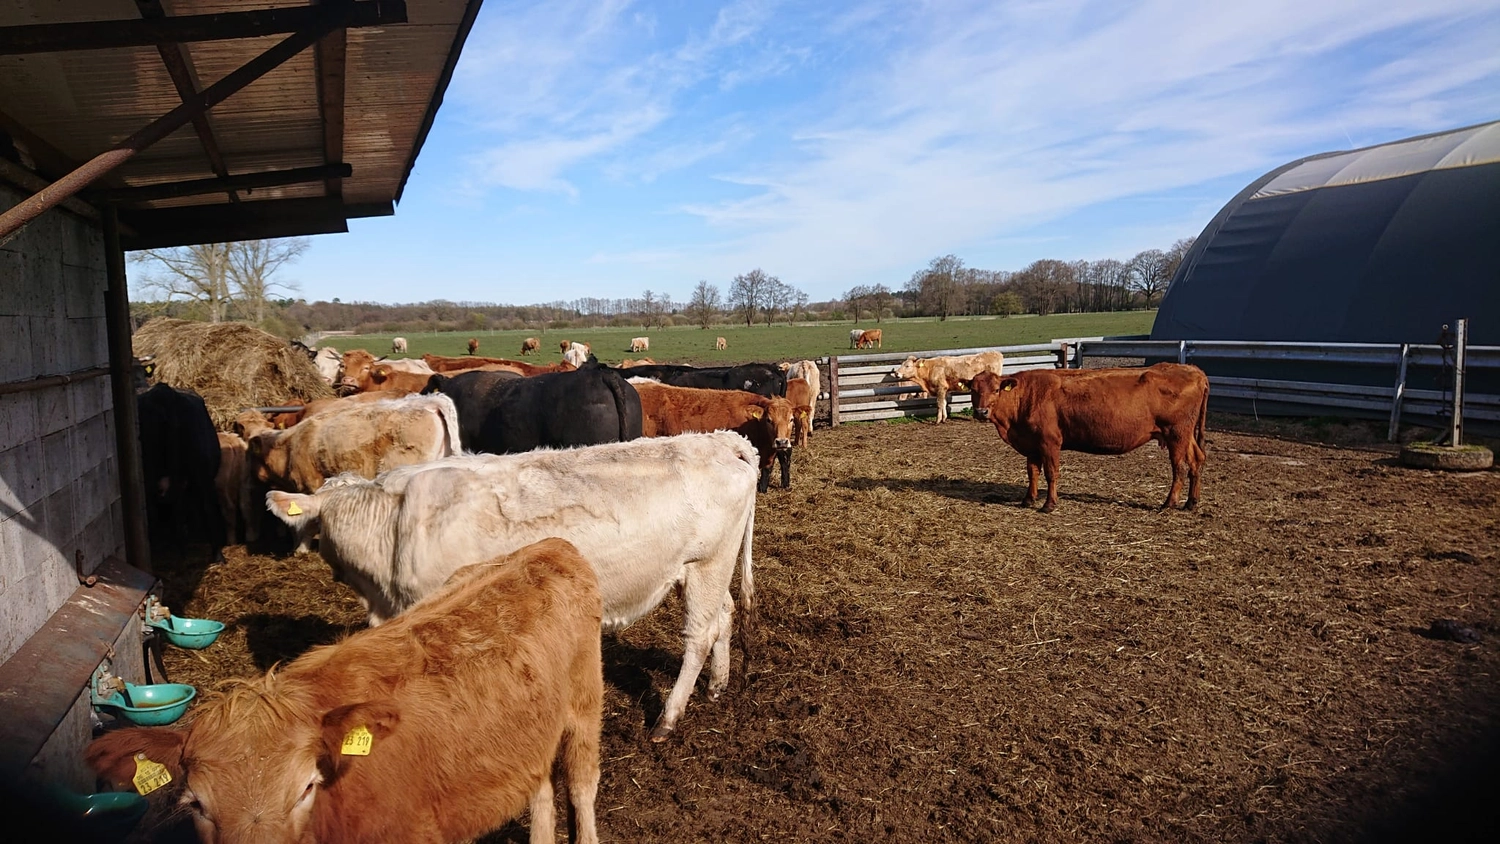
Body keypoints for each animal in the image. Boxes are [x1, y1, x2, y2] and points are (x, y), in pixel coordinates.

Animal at [87, 538, 604, 844]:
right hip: (534, 732)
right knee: (540, 788)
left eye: (305, 789)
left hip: (584, 707)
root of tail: (548, 545)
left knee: (581, 785)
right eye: (196, 804)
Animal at [264, 431, 758, 741]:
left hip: (707, 564)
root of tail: (723, 440)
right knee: (724, 615)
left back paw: (668, 719)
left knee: (699, 635)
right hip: (702, 571)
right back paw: (718, 684)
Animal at [970, 364, 1209, 513]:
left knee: (1179, 468)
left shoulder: (1050, 442)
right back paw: (1191, 502)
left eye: (996, 389)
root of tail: (1193, 370)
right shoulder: (1032, 444)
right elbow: (1032, 472)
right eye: (972, 390)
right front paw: (1028, 499)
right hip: (1186, 435)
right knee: (1196, 460)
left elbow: (1051, 474)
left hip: (1176, 433)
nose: (981, 412)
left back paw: (1169, 503)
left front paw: (1049, 504)